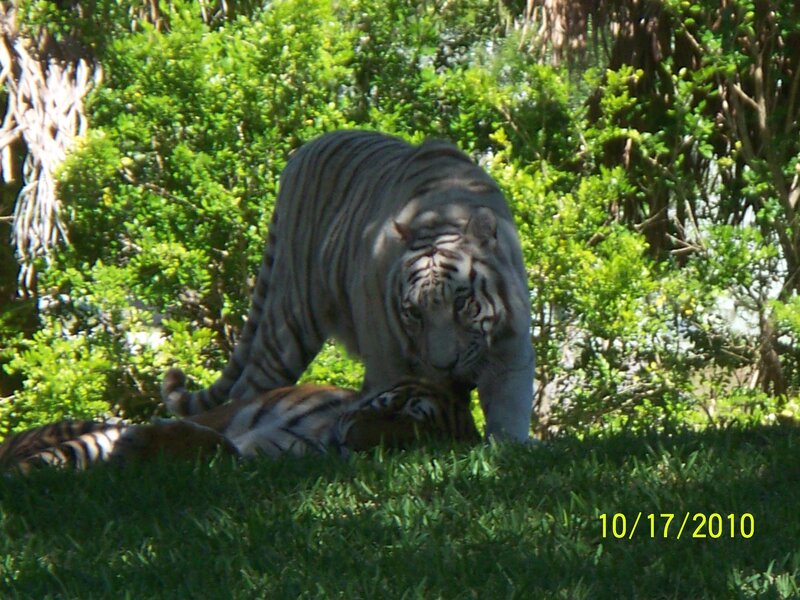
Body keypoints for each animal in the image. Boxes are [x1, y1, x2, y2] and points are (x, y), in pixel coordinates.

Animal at [163, 130, 535, 441]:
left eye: (461, 303)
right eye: (414, 313)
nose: (444, 367)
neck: (441, 216)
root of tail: (300, 154)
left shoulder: (511, 351)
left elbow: (508, 414)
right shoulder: (390, 363)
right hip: (288, 325)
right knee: (249, 388)